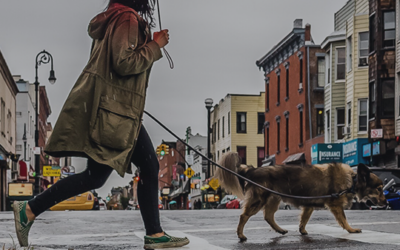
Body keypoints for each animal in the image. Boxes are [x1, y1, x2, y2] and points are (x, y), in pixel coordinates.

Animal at [216, 151, 388, 241]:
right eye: (379, 189)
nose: (386, 203)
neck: (353, 180)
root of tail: (252, 170)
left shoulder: (308, 204)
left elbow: (304, 219)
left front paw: (302, 230)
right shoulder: (336, 205)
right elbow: (344, 220)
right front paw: (351, 230)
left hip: (274, 198)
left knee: (268, 216)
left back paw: (280, 230)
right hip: (259, 199)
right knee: (244, 216)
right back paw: (240, 234)